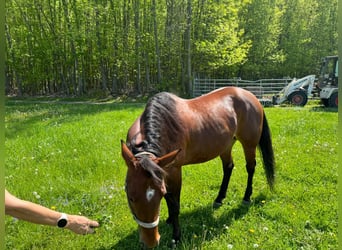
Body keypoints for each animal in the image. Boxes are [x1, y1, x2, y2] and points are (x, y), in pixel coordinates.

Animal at [121, 86, 276, 248]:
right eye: (130, 197)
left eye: (159, 196)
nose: (151, 242)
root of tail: (252, 96)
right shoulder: (163, 171)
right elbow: (170, 200)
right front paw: (169, 220)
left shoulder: (174, 170)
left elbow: (174, 204)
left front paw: (176, 237)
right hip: (225, 145)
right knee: (228, 167)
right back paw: (219, 198)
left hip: (249, 144)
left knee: (250, 167)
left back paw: (246, 197)